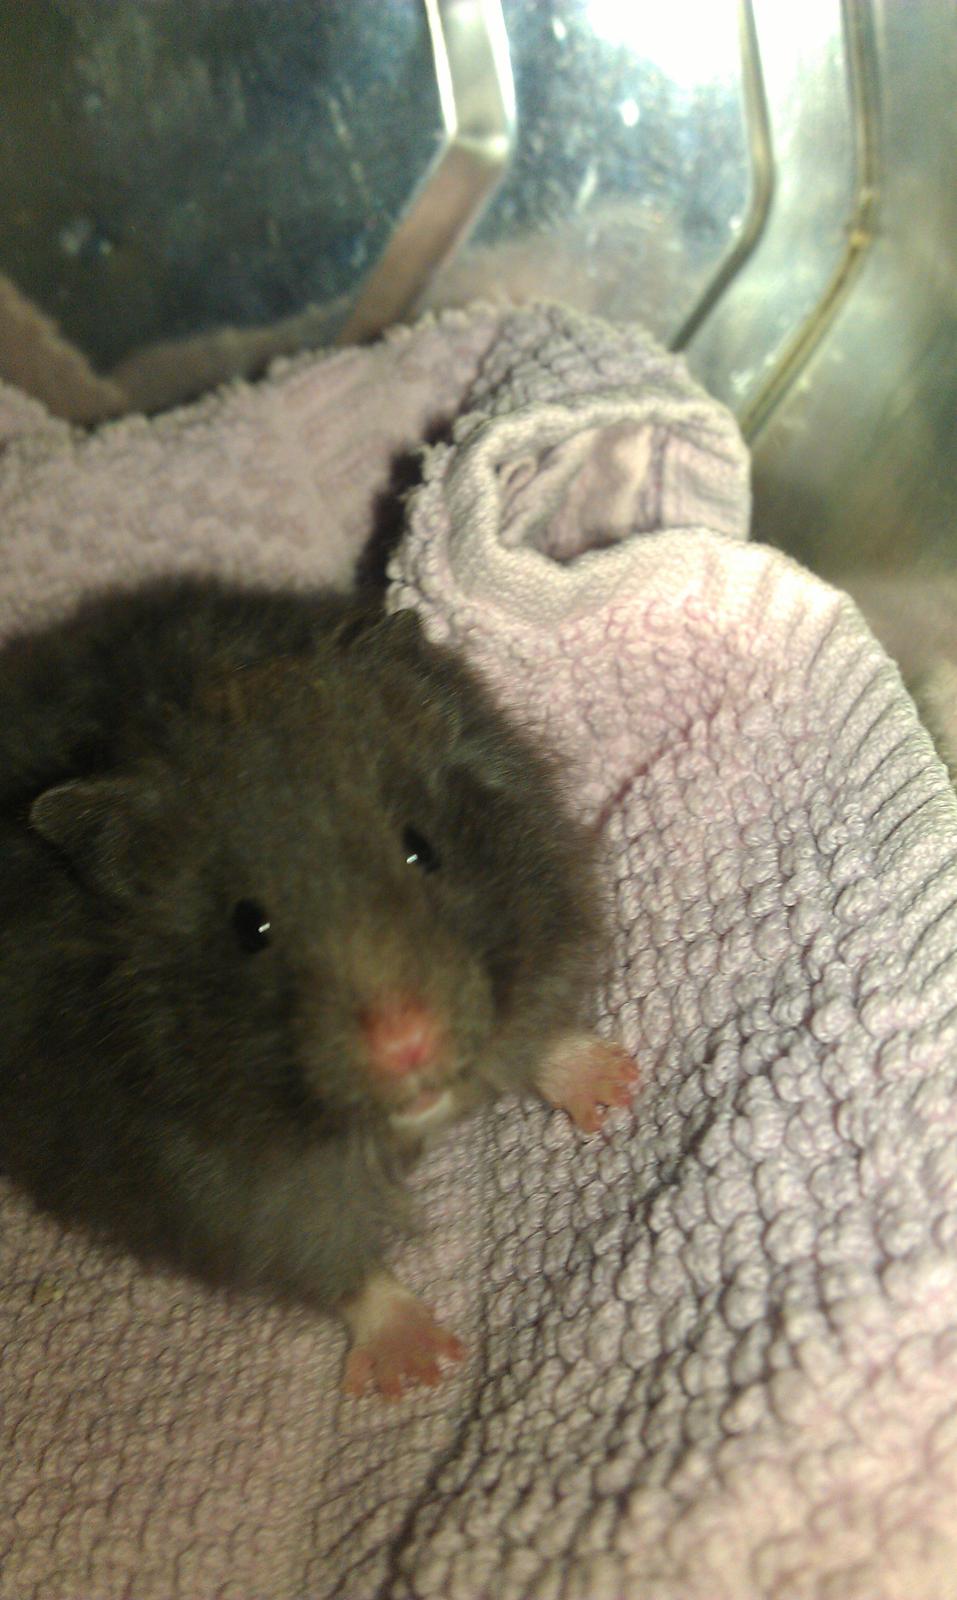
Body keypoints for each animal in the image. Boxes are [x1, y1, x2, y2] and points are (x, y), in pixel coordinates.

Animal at [0, 575, 637, 1397]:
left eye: (421, 848)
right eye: (248, 928)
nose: (407, 1045)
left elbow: (537, 1038)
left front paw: (619, 1087)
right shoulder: (219, 1191)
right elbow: (333, 1259)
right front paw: (421, 1368)